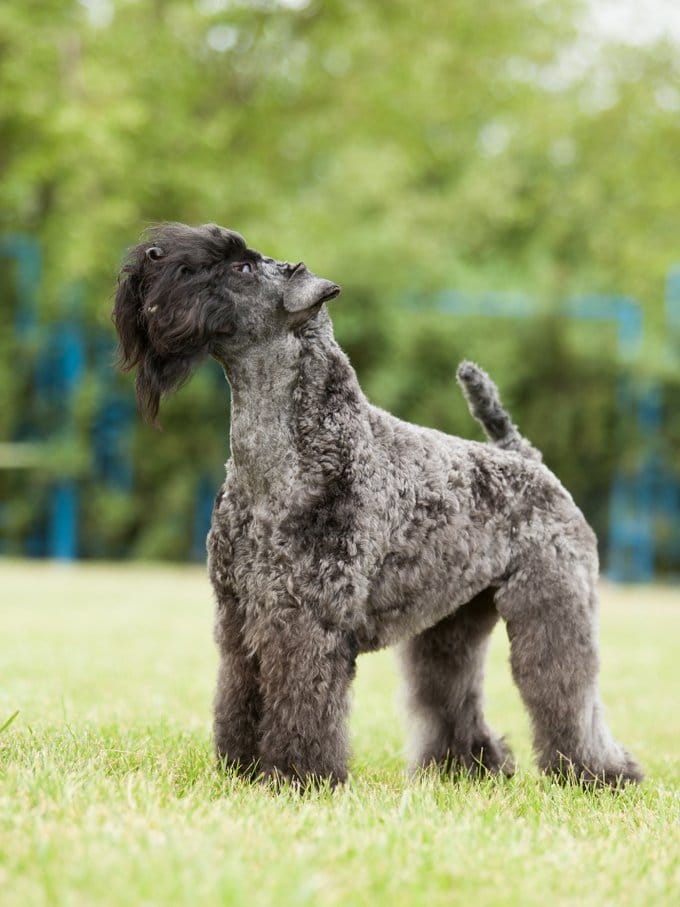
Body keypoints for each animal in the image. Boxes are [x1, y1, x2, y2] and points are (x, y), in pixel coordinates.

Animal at [115, 225, 644, 788]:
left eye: (242, 269)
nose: (151, 256)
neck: (289, 453)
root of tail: (527, 459)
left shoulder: (307, 619)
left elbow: (303, 702)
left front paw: (300, 777)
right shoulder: (239, 616)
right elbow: (238, 695)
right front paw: (242, 770)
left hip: (553, 607)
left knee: (566, 690)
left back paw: (602, 774)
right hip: (449, 627)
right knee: (451, 692)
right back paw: (465, 767)